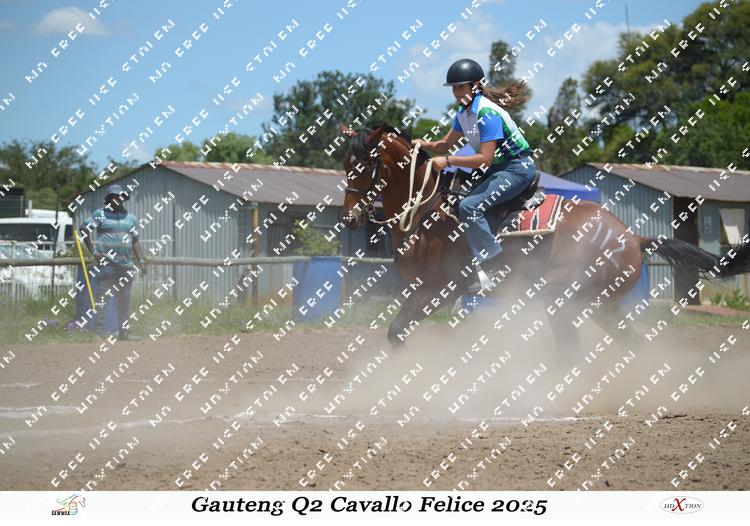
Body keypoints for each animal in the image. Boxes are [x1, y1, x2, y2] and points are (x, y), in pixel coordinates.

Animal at [339, 124, 750, 354]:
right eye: (345, 164)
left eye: (366, 164)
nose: (349, 217)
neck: (427, 211)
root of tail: (631, 236)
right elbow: (395, 333)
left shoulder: (440, 288)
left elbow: (396, 332)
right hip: (600, 305)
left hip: (563, 299)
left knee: (571, 349)